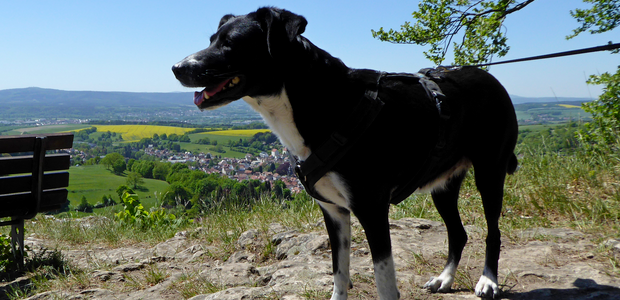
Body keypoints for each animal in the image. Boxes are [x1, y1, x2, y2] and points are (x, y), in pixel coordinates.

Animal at [174, 7, 520, 300]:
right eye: (211, 40)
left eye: (230, 44)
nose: (177, 67)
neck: (320, 102)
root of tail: (490, 77)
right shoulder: (334, 212)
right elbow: (339, 272)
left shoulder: (372, 209)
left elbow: (384, 282)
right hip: (443, 185)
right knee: (458, 234)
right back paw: (445, 278)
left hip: (490, 173)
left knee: (493, 232)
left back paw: (488, 281)